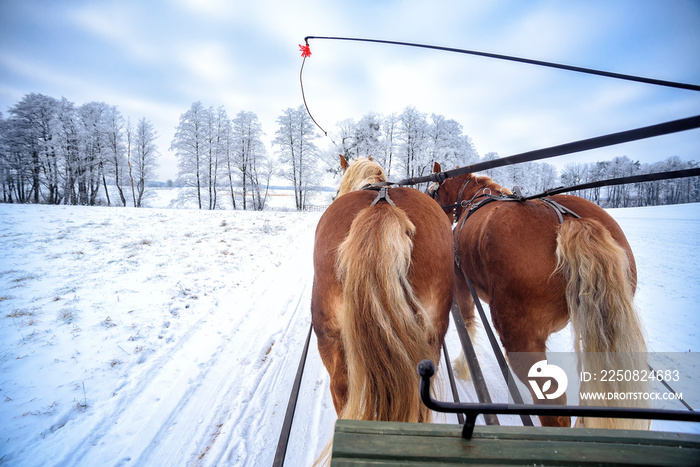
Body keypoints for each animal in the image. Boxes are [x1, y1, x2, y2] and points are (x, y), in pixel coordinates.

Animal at [432, 165, 652, 432]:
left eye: (435, 192)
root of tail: (571, 224)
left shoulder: (462, 283)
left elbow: (468, 327)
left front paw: (463, 367)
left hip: (521, 338)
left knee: (554, 408)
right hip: (595, 329)